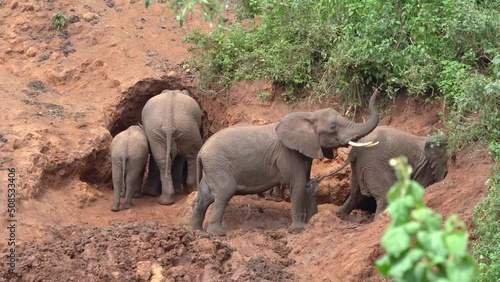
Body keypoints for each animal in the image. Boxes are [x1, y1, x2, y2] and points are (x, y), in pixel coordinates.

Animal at [191, 91, 378, 235]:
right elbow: (298, 184)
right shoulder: (288, 154)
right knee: (224, 193)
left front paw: (313, 221)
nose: (377, 91)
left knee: (205, 197)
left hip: (213, 168)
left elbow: (306, 184)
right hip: (219, 166)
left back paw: (196, 230)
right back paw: (218, 233)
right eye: (333, 127)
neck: (309, 115)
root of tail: (200, 152)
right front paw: (299, 229)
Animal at [308, 126, 450, 220]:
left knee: (355, 194)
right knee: (385, 196)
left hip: (360, 166)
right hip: (375, 165)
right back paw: (378, 220)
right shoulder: (426, 168)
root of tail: (354, 149)